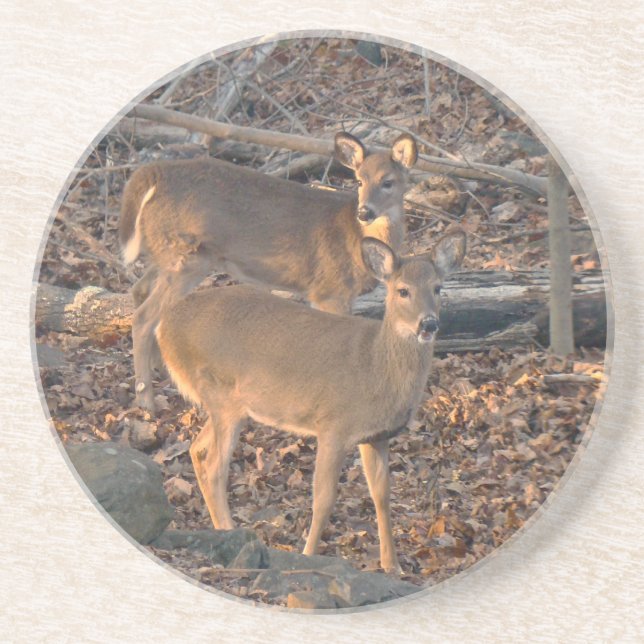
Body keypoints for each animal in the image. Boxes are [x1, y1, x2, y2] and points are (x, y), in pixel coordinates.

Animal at [120, 132, 418, 411]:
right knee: (144, 316)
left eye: (388, 182)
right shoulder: (330, 289)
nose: (364, 212)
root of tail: (153, 173)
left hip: (167, 253)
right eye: (359, 181)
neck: (355, 239)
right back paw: (146, 399)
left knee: (139, 290)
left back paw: (160, 370)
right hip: (187, 257)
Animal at [154, 230, 466, 574]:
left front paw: (392, 566)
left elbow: (382, 495)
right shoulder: (333, 425)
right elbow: (324, 498)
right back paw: (231, 532)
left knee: (197, 449)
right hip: (222, 396)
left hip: (227, 404)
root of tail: (164, 327)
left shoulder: (376, 436)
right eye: (403, 291)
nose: (429, 324)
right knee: (214, 467)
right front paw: (308, 555)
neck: (376, 366)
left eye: (438, 288)